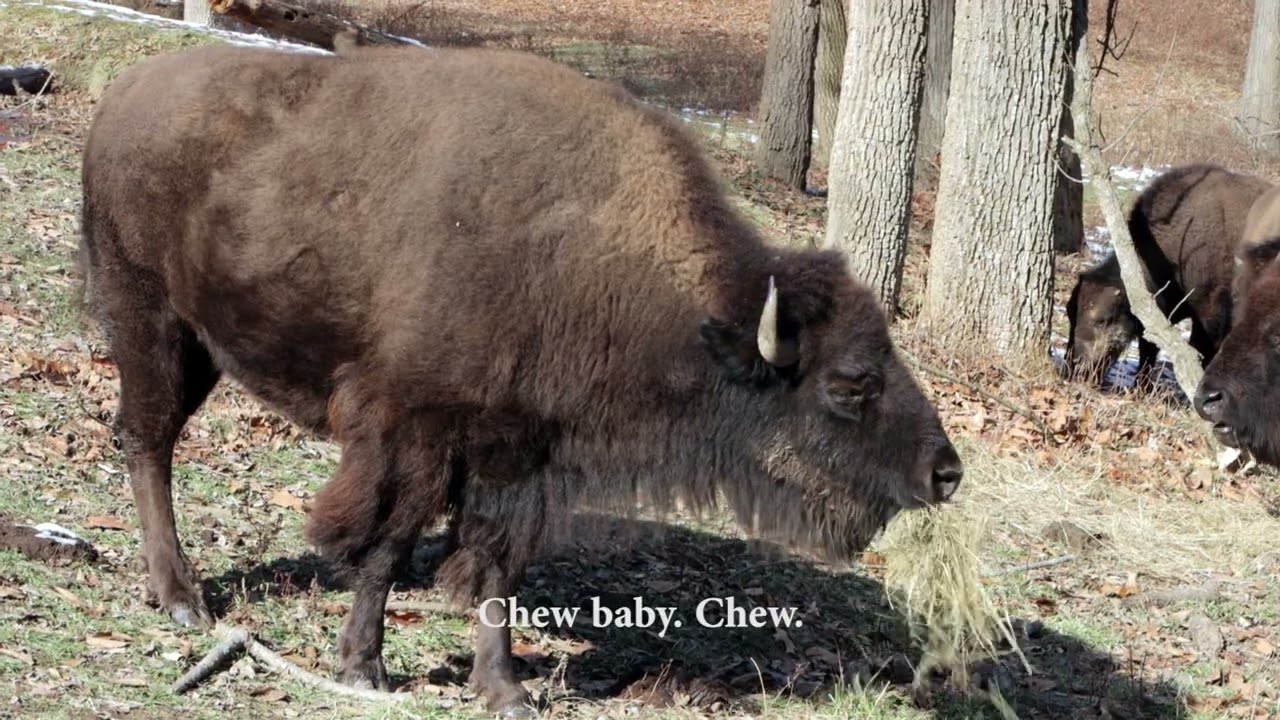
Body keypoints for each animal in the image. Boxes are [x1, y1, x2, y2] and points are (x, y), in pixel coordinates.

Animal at [80, 44, 962, 715]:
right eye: (849, 383)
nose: (946, 472)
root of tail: (125, 94)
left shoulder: (519, 455)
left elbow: (497, 568)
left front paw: (502, 688)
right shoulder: (413, 434)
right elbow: (386, 546)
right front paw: (364, 667)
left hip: (196, 345)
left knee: (147, 436)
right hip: (150, 322)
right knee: (148, 440)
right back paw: (182, 596)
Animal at [1064, 163, 1272, 385]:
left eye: (1101, 320)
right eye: (1070, 313)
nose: (1074, 365)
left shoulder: (1211, 316)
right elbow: (1148, 350)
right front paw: (1141, 386)